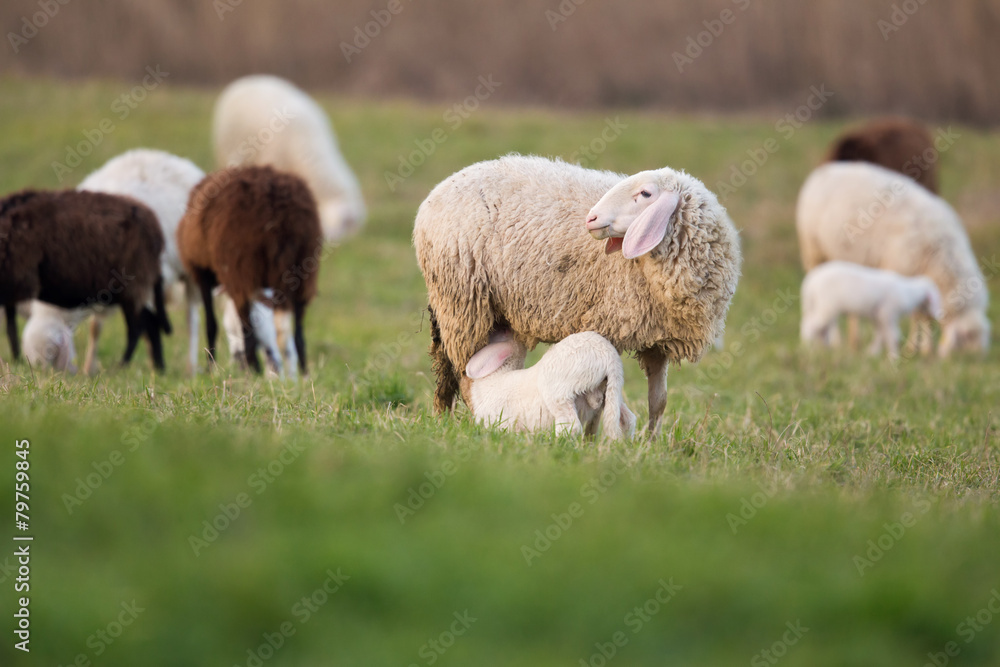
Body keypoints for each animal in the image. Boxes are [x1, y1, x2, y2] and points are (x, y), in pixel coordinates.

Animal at [1, 189, 171, 369]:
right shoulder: (12, 286)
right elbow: (11, 329)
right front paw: (16, 361)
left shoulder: (17, 281)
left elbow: (10, 327)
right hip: (132, 289)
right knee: (151, 322)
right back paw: (158, 368)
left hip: (133, 283)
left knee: (136, 328)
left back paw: (121, 366)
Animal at [21, 149, 207, 374]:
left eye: (51, 354)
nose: (46, 379)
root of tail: (169, 157)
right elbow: (96, 328)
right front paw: (89, 368)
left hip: (189, 272)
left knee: (191, 319)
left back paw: (191, 367)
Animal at [177, 165, 323, 374]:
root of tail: (278, 208)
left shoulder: (202, 273)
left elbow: (212, 324)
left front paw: (212, 367)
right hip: (303, 272)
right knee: (298, 334)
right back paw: (303, 374)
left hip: (239, 270)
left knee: (248, 333)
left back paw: (251, 370)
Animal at [800, 261, 943, 359]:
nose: (937, 315)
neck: (909, 292)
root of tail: (810, 284)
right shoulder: (887, 313)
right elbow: (892, 336)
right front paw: (893, 357)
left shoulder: (877, 316)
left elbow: (880, 334)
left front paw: (872, 353)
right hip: (826, 307)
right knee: (810, 327)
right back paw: (807, 349)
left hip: (817, 307)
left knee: (819, 329)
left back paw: (822, 350)